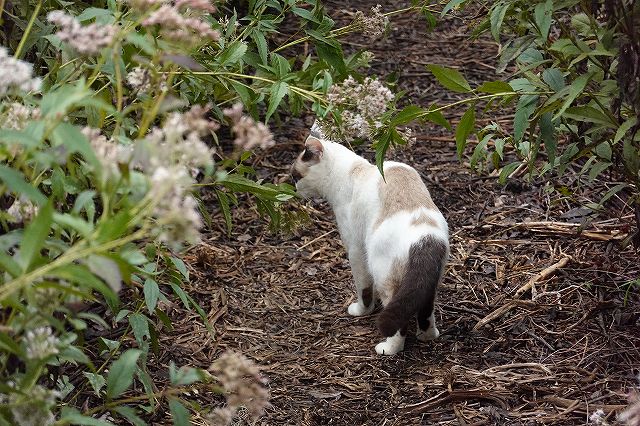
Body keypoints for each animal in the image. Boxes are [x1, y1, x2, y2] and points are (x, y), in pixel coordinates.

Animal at [292, 130, 450, 356]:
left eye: (296, 176)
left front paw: (361, 311)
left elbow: (364, 289)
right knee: (425, 310)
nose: (293, 189)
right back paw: (427, 336)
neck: (355, 170)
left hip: (383, 275)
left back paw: (388, 348)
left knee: (397, 322)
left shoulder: (355, 249)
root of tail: (424, 237)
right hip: (428, 282)